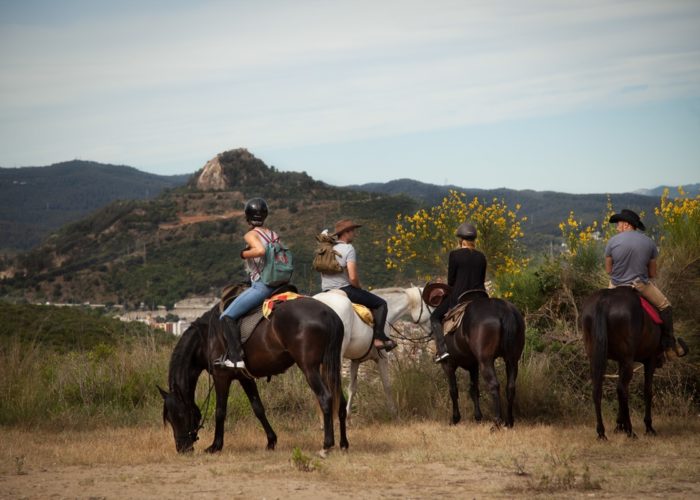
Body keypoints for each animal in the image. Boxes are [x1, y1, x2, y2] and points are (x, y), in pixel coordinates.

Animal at [157, 294, 346, 456]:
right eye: (169, 418)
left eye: (180, 416)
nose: (182, 448)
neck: (206, 338)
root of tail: (328, 313)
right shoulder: (245, 377)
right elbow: (258, 408)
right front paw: (271, 441)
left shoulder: (221, 377)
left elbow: (220, 411)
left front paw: (215, 445)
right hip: (330, 366)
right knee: (341, 402)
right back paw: (344, 443)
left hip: (310, 368)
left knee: (325, 397)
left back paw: (327, 444)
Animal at [314, 286, 432, 418]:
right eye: (431, 305)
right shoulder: (382, 358)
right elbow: (387, 385)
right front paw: (394, 413)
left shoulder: (355, 360)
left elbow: (352, 388)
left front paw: (348, 415)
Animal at [442, 292, 524, 430]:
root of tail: (504, 309)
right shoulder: (473, 366)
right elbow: (474, 390)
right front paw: (478, 417)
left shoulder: (449, 365)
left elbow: (453, 390)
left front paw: (455, 418)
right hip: (512, 360)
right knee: (511, 387)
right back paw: (509, 422)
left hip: (486, 362)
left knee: (494, 385)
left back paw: (496, 423)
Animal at [584, 288, 664, 440]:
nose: (661, 362)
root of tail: (604, 300)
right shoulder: (649, 360)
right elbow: (648, 390)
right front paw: (649, 427)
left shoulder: (621, 361)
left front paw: (618, 425)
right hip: (629, 360)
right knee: (622, 389)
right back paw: (630, 431)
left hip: (595, 357)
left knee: (599, 389)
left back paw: (602, 432)